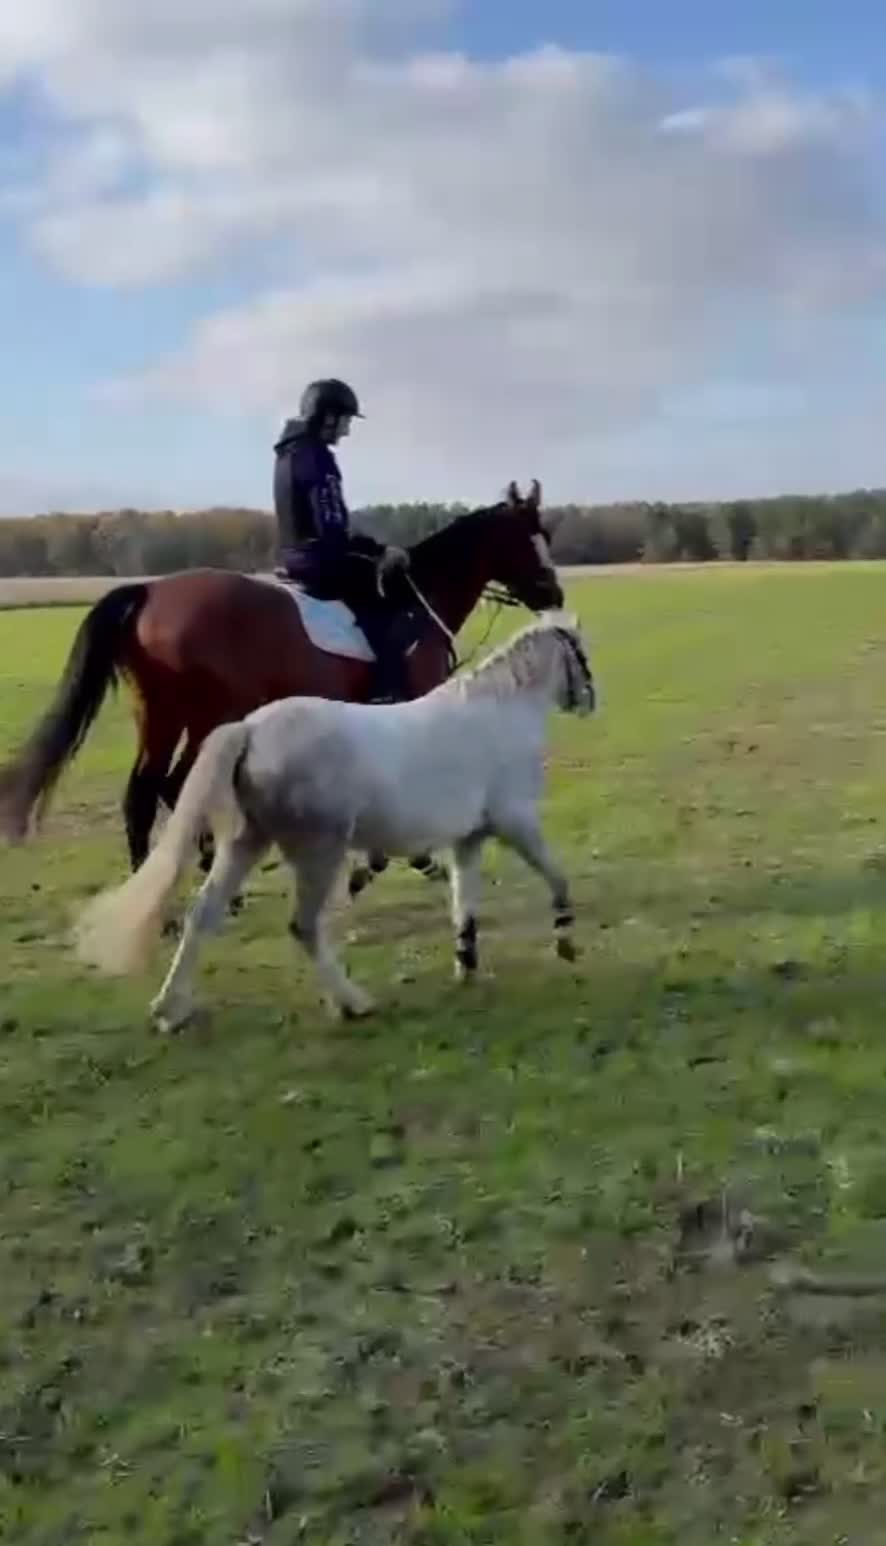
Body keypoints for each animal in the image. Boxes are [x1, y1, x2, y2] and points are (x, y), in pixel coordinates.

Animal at [0, 481, 563, 898]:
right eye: (526, 540)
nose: (553, 594)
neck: (413, 599)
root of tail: (150, 591)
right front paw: (401, 861)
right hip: (207, 713)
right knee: (163, 788)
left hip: (164, 715)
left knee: (155, 788)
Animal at [74, 613, 595, 1029]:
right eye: (580, 654)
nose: (591, 700)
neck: (498, 714)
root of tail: (251, 729)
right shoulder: (516, 821)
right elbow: (557, 876)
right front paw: (566, 942)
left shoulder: (467, 839)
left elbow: (463, 905)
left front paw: (466, 965)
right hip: (318, 853)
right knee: (303, 926)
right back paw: (353, 1003)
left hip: (247, 843)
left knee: (204, 913)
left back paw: (170, 1010)